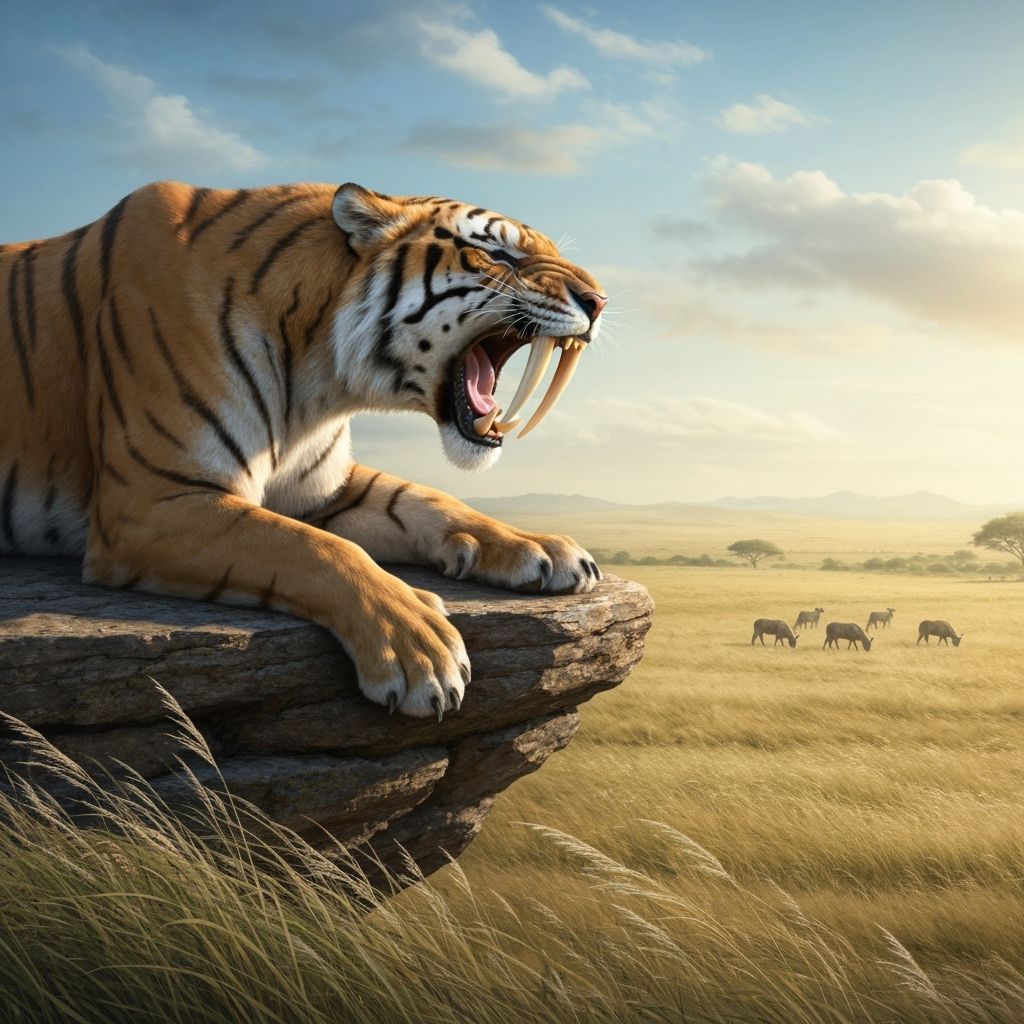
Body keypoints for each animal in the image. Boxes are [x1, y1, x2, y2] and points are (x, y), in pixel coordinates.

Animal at [0, 181, 607, 719]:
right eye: (497, 252)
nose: (599, 301)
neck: (318, 383)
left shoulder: (322, 488)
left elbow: (427, 501)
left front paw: (541, 547)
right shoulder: (153, 501)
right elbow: (317, 549)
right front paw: (420, 649)